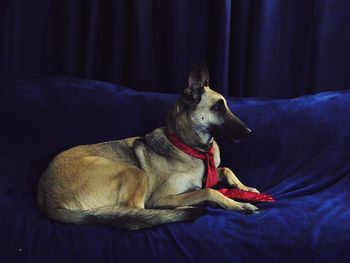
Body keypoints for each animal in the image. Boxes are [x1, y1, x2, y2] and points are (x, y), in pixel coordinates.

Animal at [37, 64, 260, 231]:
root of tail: (48, 200)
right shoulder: (160, 195)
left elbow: (226, 169)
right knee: (139, 209)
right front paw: (238, 204)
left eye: (225, 105)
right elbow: (209, 191)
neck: (188, 147)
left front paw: (245, 188)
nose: (250, 132)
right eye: (217, 107)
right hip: (134, 172)